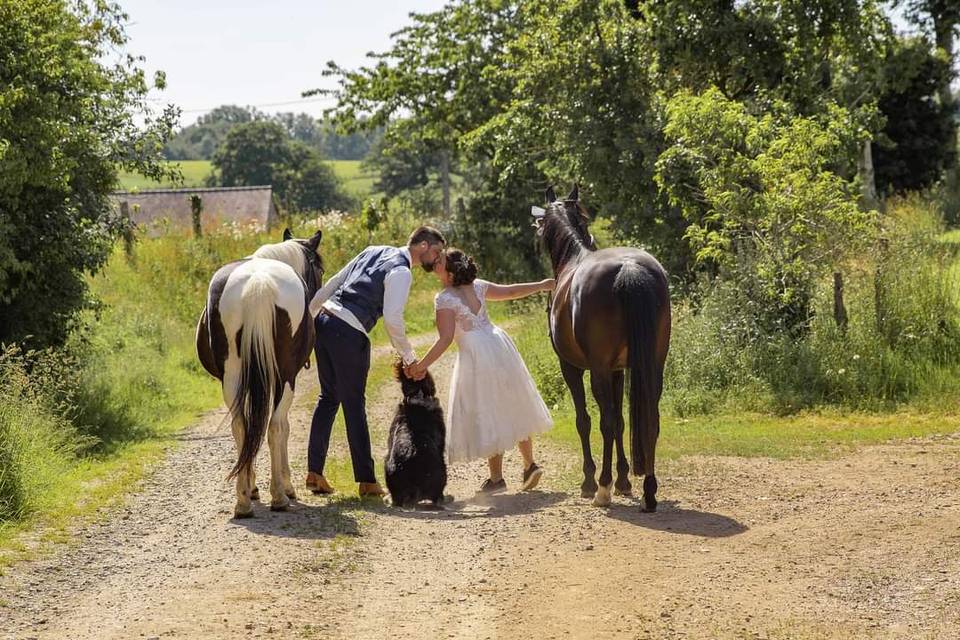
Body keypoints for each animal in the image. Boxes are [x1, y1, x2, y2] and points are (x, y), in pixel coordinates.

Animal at [197, 228, 324, 516]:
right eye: (319, 268)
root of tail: (258, 283)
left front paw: (252, 487)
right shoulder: (284, 378)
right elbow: (283, 426)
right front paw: (287, 485)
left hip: (232, 377)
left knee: (241, 425)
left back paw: (243, 501)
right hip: (285, 377)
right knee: (275, 425)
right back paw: (279, 496)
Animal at [536, 185, 672, 510]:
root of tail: (629, 268)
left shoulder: (572, 368)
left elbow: (585, 421)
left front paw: (591, 481)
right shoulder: (618, 370)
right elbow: (623, 422)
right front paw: (624, 479)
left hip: (596, 370)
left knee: (605, 422)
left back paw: (602, 488)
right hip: (654, 366)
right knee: (650, 419)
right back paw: (649, 490)